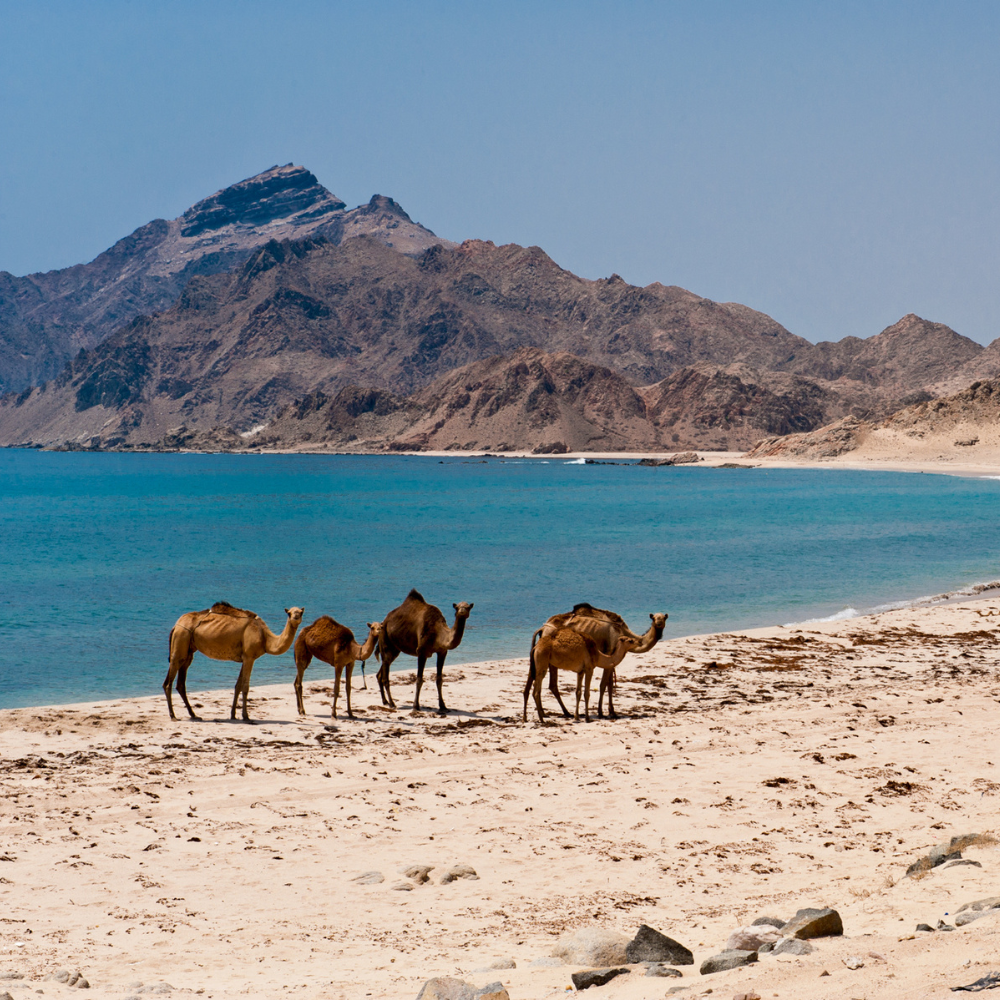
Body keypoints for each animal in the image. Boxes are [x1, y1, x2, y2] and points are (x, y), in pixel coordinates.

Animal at [164, 602, 304, 722]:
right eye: (289, 613)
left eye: (301, 612)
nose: (296, 617)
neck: (265, 638)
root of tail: (176, 625)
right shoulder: (249, 657)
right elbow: (245, 687)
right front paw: (246, 717)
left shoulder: (245, 658)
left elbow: (238, 686)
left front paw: (233, 715)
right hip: (181, 639)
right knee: (168, 682)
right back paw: (173, 716)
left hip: (188, 650)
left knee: (181, 683)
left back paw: (194, 715)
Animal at [528, 604, 668, 719]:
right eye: (654, 618)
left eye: (663, 618)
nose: (658, 624)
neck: (622, 631)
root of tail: (543, 628)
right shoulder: (610, 653)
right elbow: (604, 685)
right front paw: (603, 712)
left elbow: (610, 684)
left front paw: (611, 711)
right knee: (552, 684)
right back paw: (564, 712)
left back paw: (548, 712)